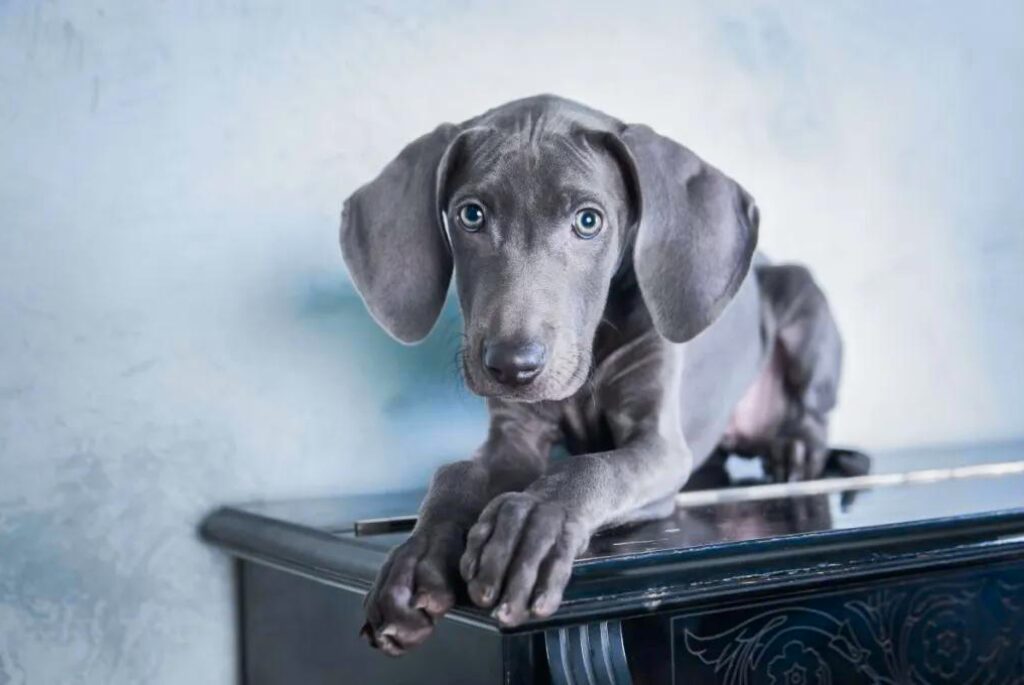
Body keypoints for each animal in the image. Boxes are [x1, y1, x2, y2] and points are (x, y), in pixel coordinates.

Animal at [339, 93, 843, 655]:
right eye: (471, 214)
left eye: (587, 221)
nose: (512, 366)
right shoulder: (513, 437)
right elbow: (455, 474)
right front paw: (415, 560)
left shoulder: (660, 445)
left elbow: (591, 468)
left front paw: (529, 528)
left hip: (801, 294)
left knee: (812, 409)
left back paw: (795, 449)